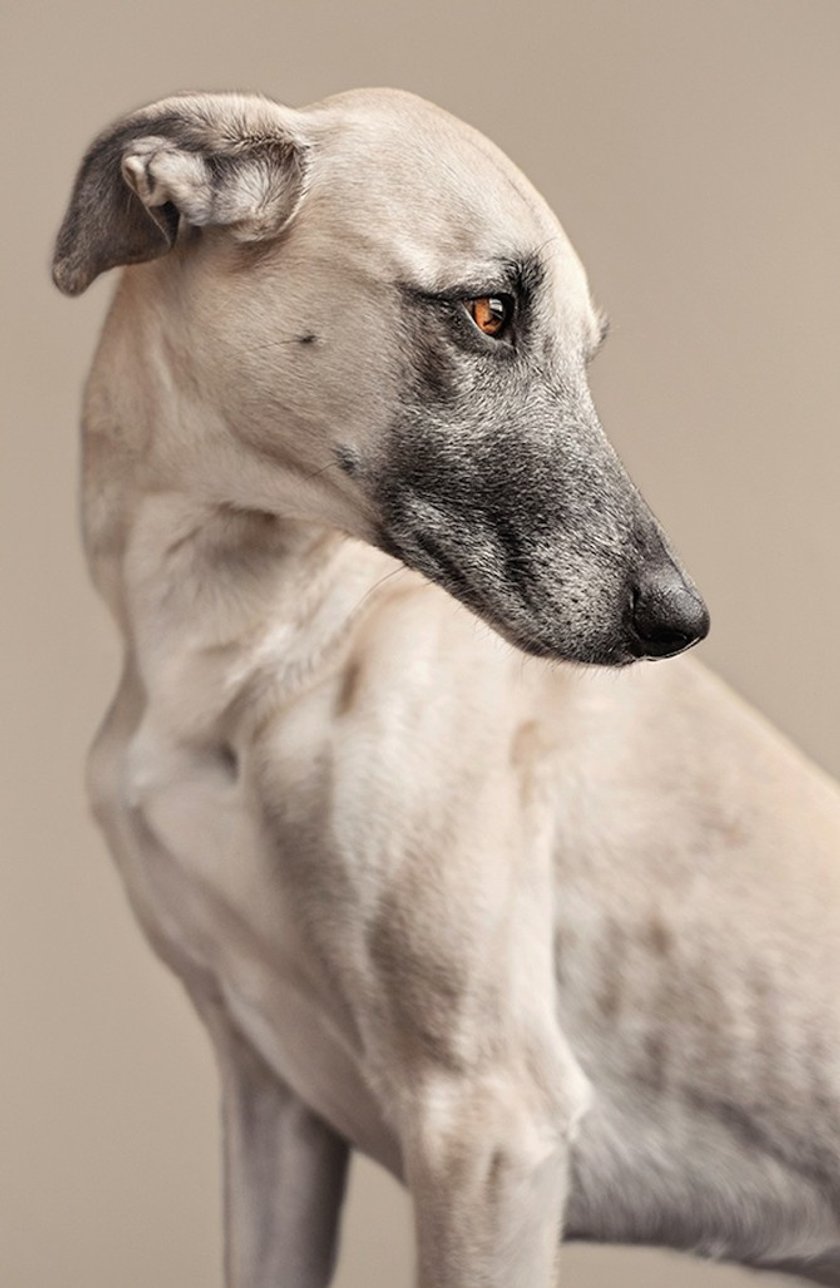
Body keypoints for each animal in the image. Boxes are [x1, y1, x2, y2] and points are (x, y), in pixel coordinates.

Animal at [54, 85, 840, 1282]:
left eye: (584, 351)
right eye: (488, 313)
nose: (680, 620)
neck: (250, 652)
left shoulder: (490, 1126)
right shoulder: (277, 1102)